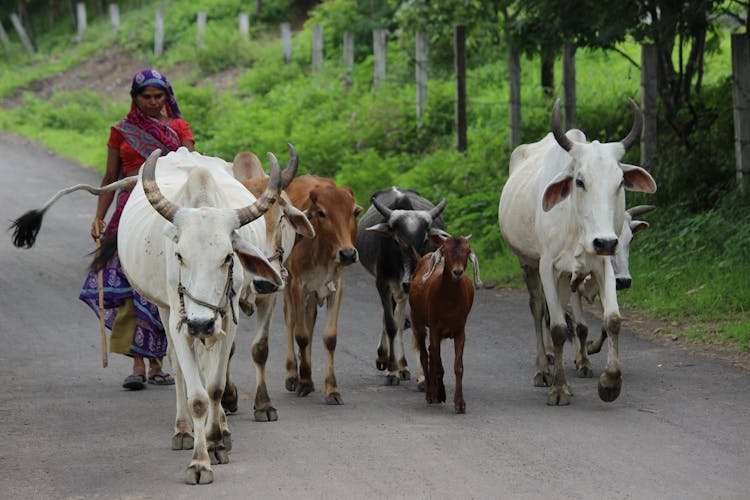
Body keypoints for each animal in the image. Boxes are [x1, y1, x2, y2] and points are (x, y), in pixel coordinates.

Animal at [284, 174, 362, 404]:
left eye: (354, 212)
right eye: (321, 213)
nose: (348, 254)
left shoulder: (336, 287)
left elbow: (329, 338)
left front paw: (332, 389)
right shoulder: (298, 285)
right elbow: (300, 335)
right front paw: (303, 380)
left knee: (310, 320)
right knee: (291, 321)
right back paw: (293, 374)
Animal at [408, 234, 484, 414]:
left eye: (466, 251)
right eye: (446, 252)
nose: (457, 272)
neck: (449, 302)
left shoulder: (460, 331)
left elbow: (458, 367)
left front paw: (460, 403)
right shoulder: (435, 328)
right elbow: (438, 365)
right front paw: (440, 393)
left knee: (431, 352)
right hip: (417, 320)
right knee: (424, 355)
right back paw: (430, 393)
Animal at [502, 99, 656, 404]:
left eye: (620, 182)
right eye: (580, 181)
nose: (606, 242)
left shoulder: (600, 265)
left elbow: (612, 320)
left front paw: (609, 382)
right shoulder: (547, 266)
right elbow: (559, 328)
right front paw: (559, 388)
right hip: (528, 263)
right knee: (538, 310)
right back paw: (543, 367)